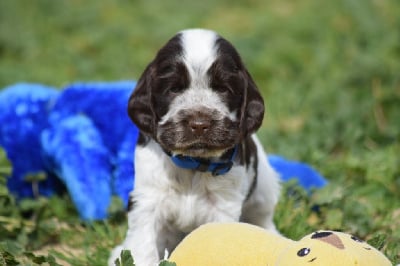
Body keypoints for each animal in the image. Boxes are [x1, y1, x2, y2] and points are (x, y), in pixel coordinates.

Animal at [108, 29, 280, 266]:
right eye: (173, 89)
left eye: (223, 89)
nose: (199, 124)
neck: (192, 164)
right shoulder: (147, 199)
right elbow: (143, 245)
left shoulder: (223, 207)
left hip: (264, 188)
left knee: (263, 217)